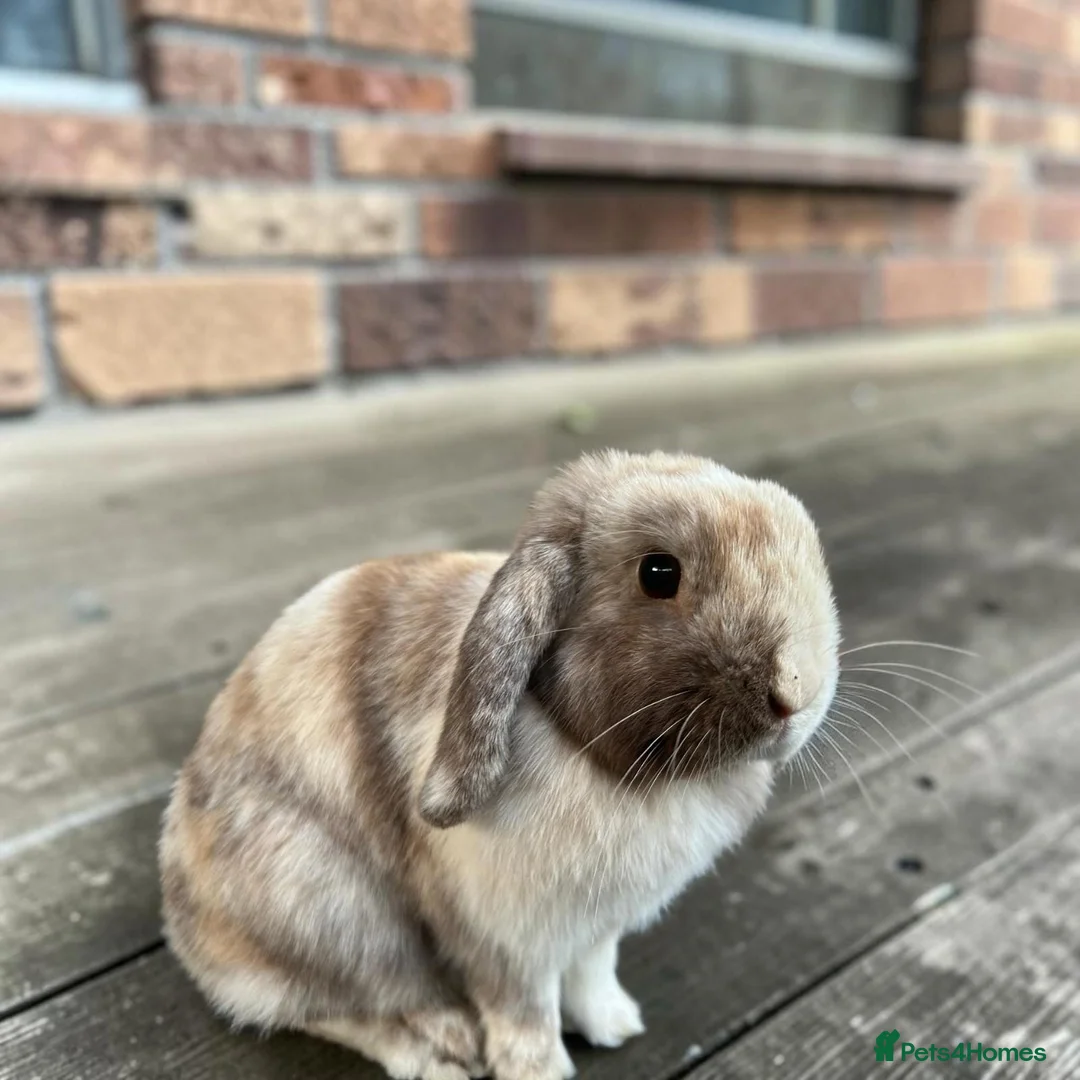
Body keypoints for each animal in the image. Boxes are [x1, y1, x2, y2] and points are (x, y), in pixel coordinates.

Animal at [159, 449, 840, 1080]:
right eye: (658, 572)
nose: (796, 692)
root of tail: (189, 934)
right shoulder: (506, 936)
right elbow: (524, 1012)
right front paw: (541, 1071)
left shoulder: (597, 925)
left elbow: (593, 972)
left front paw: (614, 1025)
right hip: (335, 915)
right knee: (337, 1007)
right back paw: (440, 1050)